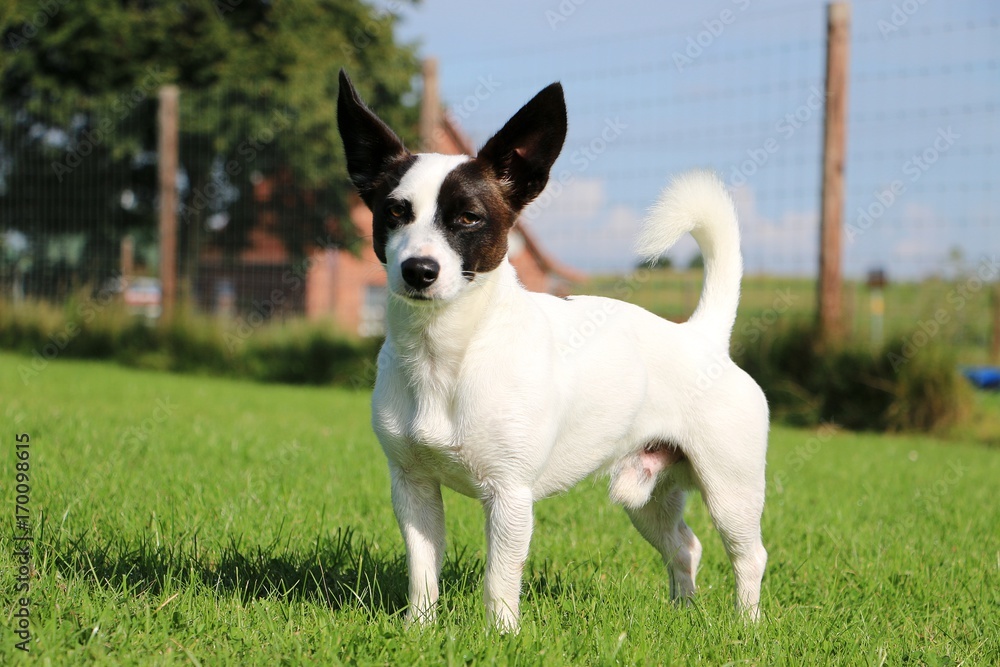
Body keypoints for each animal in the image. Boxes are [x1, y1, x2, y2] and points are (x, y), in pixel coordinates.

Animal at [340, 70, 768, 636]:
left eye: (469, 218)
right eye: (394, 212)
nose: (419, 270)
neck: (450, 354)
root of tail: (702, 336)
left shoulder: (510, 496)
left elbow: (500, 580)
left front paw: (500, 637)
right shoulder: (413, 489)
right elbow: (423, 570)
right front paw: (419, 630)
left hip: (731, 490)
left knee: (749, 557)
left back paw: (747, 627)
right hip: (647, 495)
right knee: (686, 547)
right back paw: (683, 612)